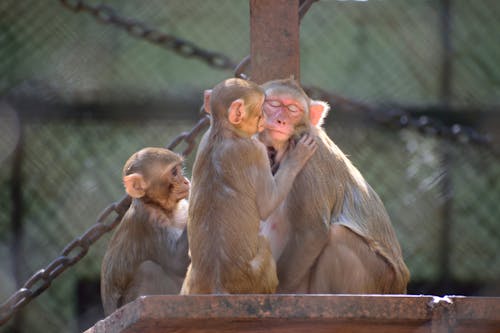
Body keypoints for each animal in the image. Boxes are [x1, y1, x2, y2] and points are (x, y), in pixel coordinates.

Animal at [100, 147, 190, 316]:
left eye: (179, 169)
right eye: (174, 172)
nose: (186, 181)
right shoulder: (148, 220)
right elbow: (178, 261)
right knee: (148, 269)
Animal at [182, 78, 318, 294]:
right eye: (263, 107)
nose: (267, 119)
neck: (223, 133)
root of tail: (217, 284)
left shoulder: (205, 138)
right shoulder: (255, 150)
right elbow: (266, 205)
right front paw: (298, 155)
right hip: (256, 276)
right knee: (264, 243)